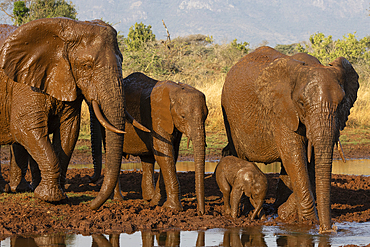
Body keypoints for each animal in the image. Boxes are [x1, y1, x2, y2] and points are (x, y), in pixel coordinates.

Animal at [0, 16, 132, 207]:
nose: (90, 206)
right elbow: (24, 128)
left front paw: (61, 196)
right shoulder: (24, 83)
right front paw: (49, 198)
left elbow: (68, 131)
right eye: (87, 65)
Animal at [88, 72, 207, 214]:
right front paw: (172, 208)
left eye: (206, 116)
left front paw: (157, 203)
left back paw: (149, 198)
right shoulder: (156, 116)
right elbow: (165, 154)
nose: (201, 212)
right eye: (183, 116)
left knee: (147, 159)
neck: (176, 90)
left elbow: (171, 155)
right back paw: (118, 199)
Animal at [221, 45, 360, 232]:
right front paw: (308, 222)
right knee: (242, 157)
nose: (328, 230)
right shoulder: (282, 110)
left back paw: (275, 209)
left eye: (342, 104)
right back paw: (250, 211)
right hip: (230, 116)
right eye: (301, 104)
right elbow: (294, 156)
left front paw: (286, 214)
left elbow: (308, 162)